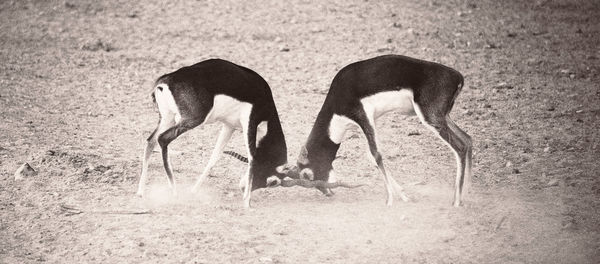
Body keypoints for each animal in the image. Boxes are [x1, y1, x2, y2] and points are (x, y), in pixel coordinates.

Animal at [135, 58, 288, 207]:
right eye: (272, 181)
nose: (243, 187)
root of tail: (165, 80)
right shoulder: (250, 121)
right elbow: (252, 158)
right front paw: (247, 202)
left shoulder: (229, 126)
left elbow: (214, 157)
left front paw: (194, 190)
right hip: (192, 120)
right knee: (163, 139)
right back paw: (174, 192)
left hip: (168, 118)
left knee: (151, 141)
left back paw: (141, 192)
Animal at [272, 54, 474, 207]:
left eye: (307, 174)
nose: (328, 192)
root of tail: (458, 77)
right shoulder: (369, 122)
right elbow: (372, 156)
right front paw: (403, 195)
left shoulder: (363, 116)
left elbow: (377, 155)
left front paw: (389, 200)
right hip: (443, 117)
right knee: (468, 139)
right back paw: (466, 195)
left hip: (431, 118)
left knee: (459, 147)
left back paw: (457, 201)